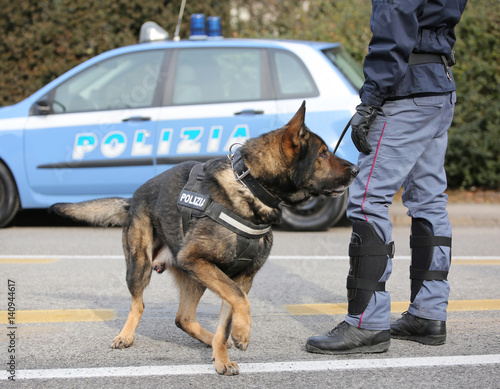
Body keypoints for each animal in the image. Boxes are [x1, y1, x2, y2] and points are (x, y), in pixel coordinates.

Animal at [50, 101, 360, 374]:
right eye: (323, 154)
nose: (357, 170)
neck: (251, 187)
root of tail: (133, 198)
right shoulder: (207, 265)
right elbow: (240, 302)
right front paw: (243, 333)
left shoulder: (238, 277)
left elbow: (229, 315)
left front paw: (223, 354)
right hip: (142, 265)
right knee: (139, 304)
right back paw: (126, 335)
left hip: (195, 277)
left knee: (184, 318)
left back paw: (210, 342)